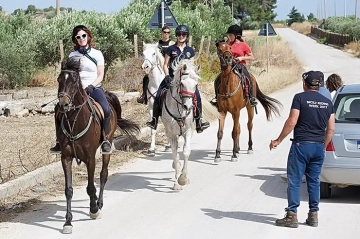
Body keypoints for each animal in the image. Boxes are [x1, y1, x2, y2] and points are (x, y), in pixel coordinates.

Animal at [56, 56, 141, 233]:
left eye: (74, 81)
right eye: (59, 79)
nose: (63, 105)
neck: (75, 122)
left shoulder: (90, 158)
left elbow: (90, 186)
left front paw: (94, 209)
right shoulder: (66, 157)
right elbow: (68, 190)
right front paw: (68, 222)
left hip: (107, 148)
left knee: (103, 175)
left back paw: (99, 203)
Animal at [161, 58, 200, 190]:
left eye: (196, 85)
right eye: (182, 83)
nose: (188, 107)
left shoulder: (188, 131)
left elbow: (186, 151)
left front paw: (183, 178)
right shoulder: (171, 134)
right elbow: (174, 154)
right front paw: (177, 183)